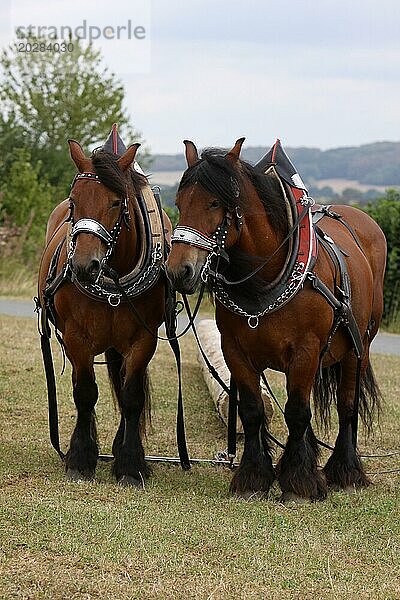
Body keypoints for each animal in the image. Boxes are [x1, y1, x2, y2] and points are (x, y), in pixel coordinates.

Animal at [36, 138, 170, 486]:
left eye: (115, 202)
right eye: (74, 202)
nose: (84, 266)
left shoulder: (143, 340)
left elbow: (131, 396)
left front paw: (131, 465)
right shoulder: (77, 339)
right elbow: (85, 393)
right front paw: (80, 459)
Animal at [166, 138, 388, 500]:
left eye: (215, 202)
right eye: (179, 203)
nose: (178, 271)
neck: (265, 280)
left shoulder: (306, 350)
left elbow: (297, 412)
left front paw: (298, 483)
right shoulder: (236, 352)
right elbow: (253, 411)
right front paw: (254, 477)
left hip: (359, 347)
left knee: (346, 404)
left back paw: (345, 470)